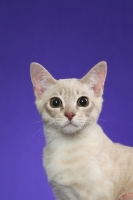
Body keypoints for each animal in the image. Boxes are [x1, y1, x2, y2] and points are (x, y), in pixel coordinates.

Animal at [29, 61, 133, 199]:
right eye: (55, 102)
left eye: (83, 101)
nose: (69, 114)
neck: (65, 147)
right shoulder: (61, 195)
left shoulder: (98, 195)